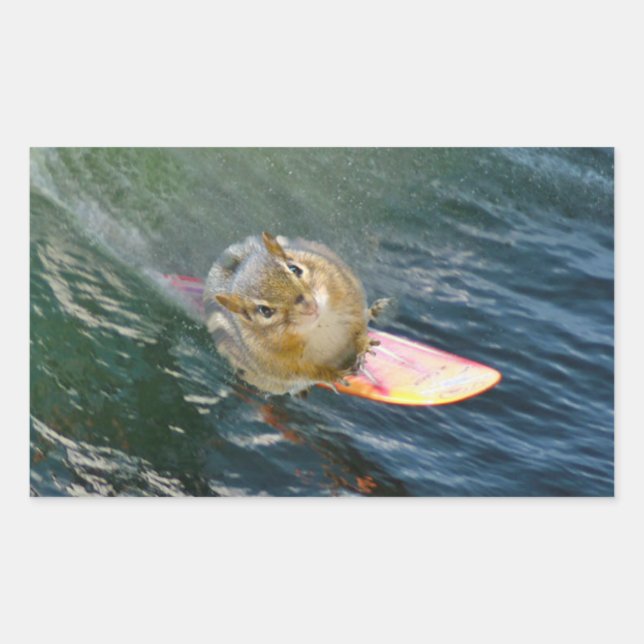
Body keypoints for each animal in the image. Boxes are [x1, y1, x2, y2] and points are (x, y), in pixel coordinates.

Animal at [203, 232, 389, 395]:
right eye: (265, 311)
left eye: (294, 269)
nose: (308, 305)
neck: (319, 325)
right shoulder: (277, 363)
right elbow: (306, 373)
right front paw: (332, 375)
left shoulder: (348, 293)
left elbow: (358, 324)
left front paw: (363, 343)